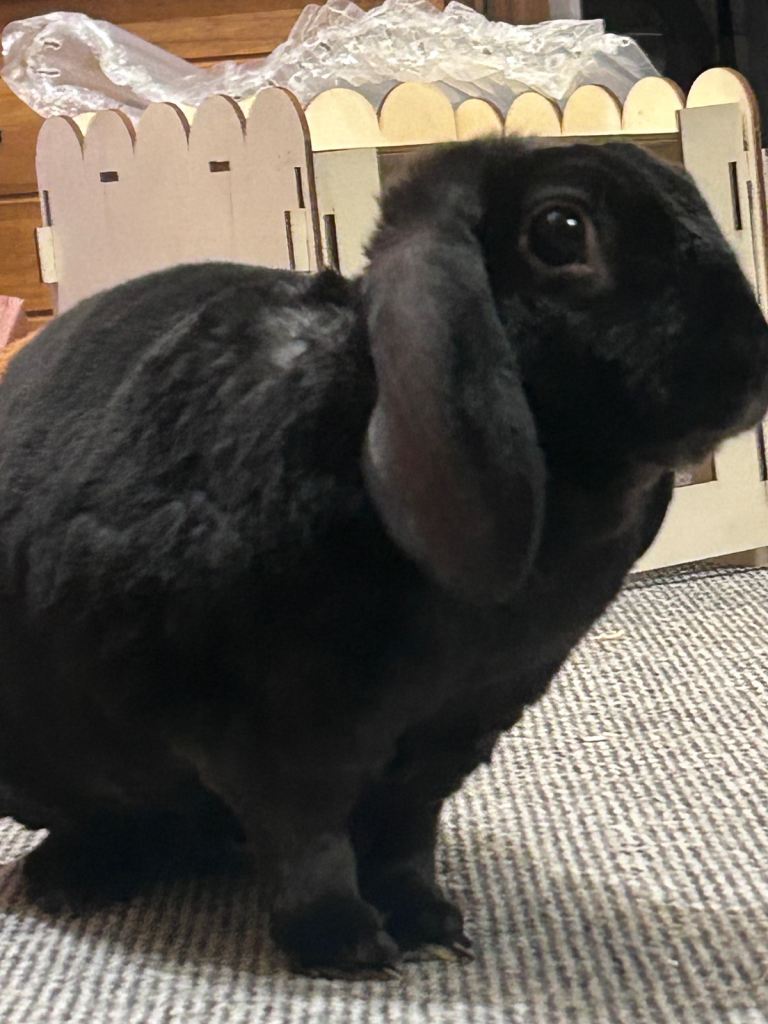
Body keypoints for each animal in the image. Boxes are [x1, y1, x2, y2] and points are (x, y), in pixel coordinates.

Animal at [0, 137, 767, 979]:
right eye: (561, 231)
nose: (748, 368)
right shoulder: (283, 735)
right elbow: (311, 842)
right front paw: (347, 946)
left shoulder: (453, 734)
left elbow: (405, 836)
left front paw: (430, 923)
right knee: (114, 823)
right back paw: (73, 881)